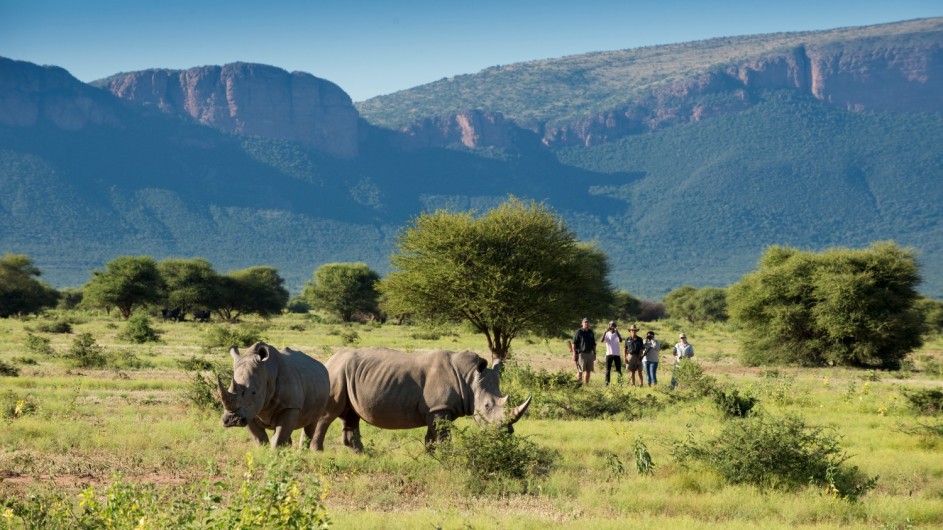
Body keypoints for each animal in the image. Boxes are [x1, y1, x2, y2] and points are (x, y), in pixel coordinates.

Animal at [310, 346, 532, 450]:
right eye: (486, 406)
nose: (506, 433)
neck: (469, 378)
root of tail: (330, 359)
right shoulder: (439, 408)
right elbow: (443, 436)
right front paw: (448, 457)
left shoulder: (436, 409)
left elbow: (431, 436)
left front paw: (431, 456)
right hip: (336, 373)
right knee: (329, 414)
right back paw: (317, 451)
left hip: (347, 374)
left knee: (351, 414)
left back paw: (362, 453)